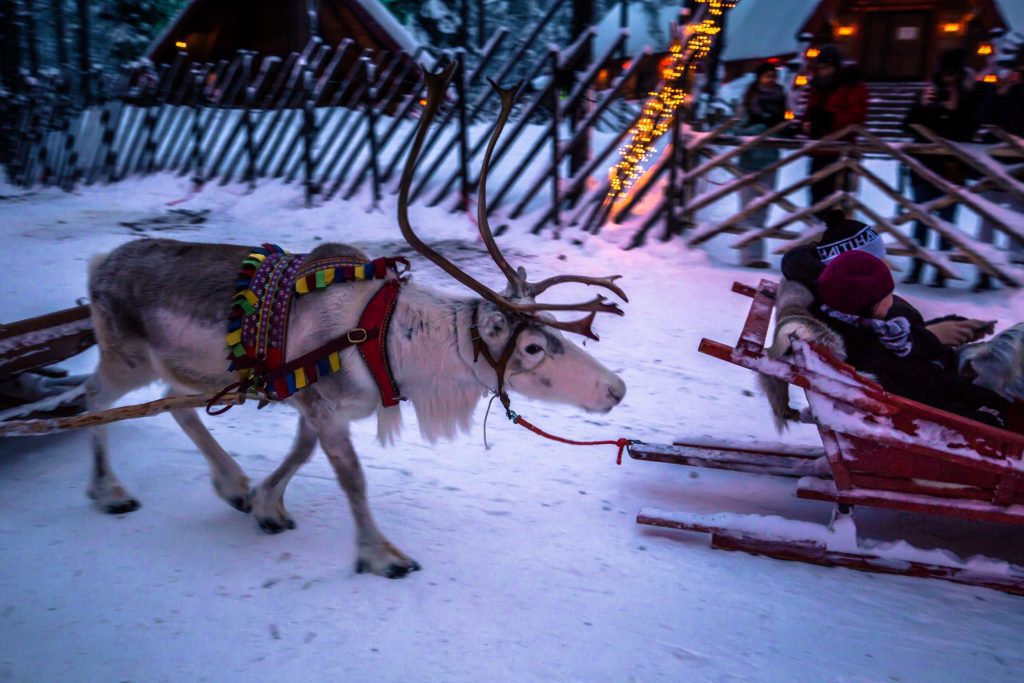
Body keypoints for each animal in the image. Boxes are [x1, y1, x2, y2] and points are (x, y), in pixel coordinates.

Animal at [82, 64, 627, 578]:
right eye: (532, 346)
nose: (617, 389)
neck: (390, 343)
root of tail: (100, 264)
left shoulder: (315, 405)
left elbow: (300, 454)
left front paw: (264, 503)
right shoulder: (323, 405)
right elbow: (352, 478)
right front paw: (380, 555)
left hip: (181, 368)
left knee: (174, 405)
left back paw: (232, 485)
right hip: (126, 357)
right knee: (93, 398)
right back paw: (110, 491)